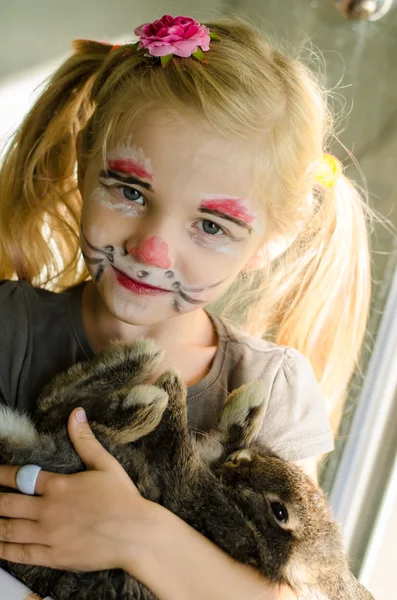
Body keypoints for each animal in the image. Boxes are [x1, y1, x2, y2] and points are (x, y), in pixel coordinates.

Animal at [0, 340, 372, 596]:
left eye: (280, 512)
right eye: (261, 460)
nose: (237, 463)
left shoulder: (190, 495)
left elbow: (179, 451)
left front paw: (175, 388)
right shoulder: (210, 459)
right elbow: (225, 437)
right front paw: (250, 403)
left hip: (104, 458)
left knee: (64, 413)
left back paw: (151, 393)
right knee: (54, 406)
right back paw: (141, 362)